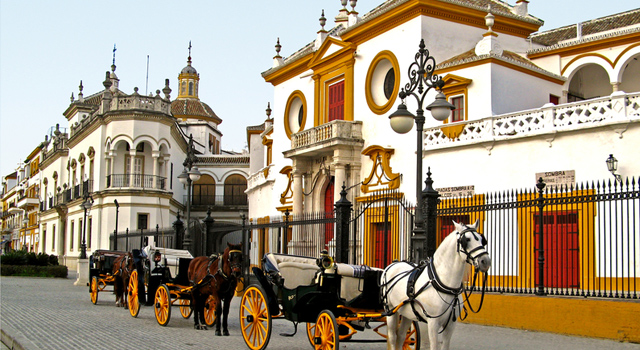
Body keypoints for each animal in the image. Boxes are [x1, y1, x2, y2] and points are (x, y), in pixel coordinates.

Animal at [382, 221, 492, 350]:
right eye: (467, 240)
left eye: (482, 239)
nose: (485, 261)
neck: (444, 284)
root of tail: (393, 264)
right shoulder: (432, 323)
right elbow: (434, 346)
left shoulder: (451, 324)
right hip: (391, 311)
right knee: (393, 338)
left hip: (407, 313)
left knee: (401, 336)